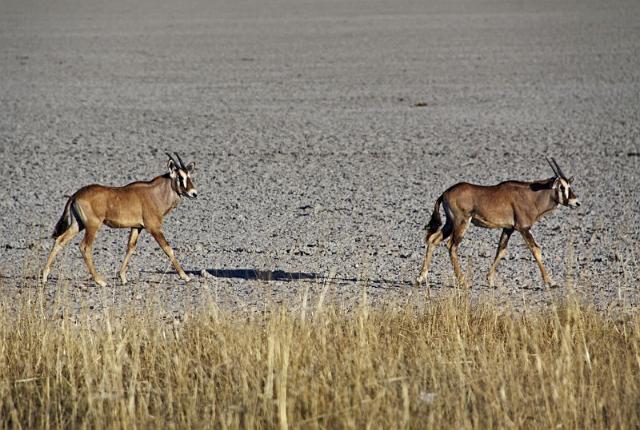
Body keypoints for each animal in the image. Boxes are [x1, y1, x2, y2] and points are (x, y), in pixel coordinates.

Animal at [42, 153, 198, 288]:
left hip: (77, 225)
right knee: (85, 247)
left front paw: (123, 277)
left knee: (60, 240)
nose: (194, 193)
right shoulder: (154, 228)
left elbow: (130, 247)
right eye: (180, 177)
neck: (155, 193)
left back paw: (44, 275)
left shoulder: (137, 227)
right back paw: (100, 281)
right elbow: (168, 249)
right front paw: (185, 276)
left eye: (189, 176)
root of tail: (75, 195)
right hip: (92, 226)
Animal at [416, 156, 580, 288]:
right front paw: (550, 281)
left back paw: (421, 278)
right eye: (562, 187)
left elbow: (501, 250)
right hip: (461, 222)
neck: (531, 195)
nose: (576, 202)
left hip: (450, 223)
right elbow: (536, 250)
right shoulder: (523, 228)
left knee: (433, 239)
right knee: (451, 246)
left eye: (569, 186)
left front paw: (490, 279)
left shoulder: (508, 228)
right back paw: (463, 281)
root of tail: (445, 193)